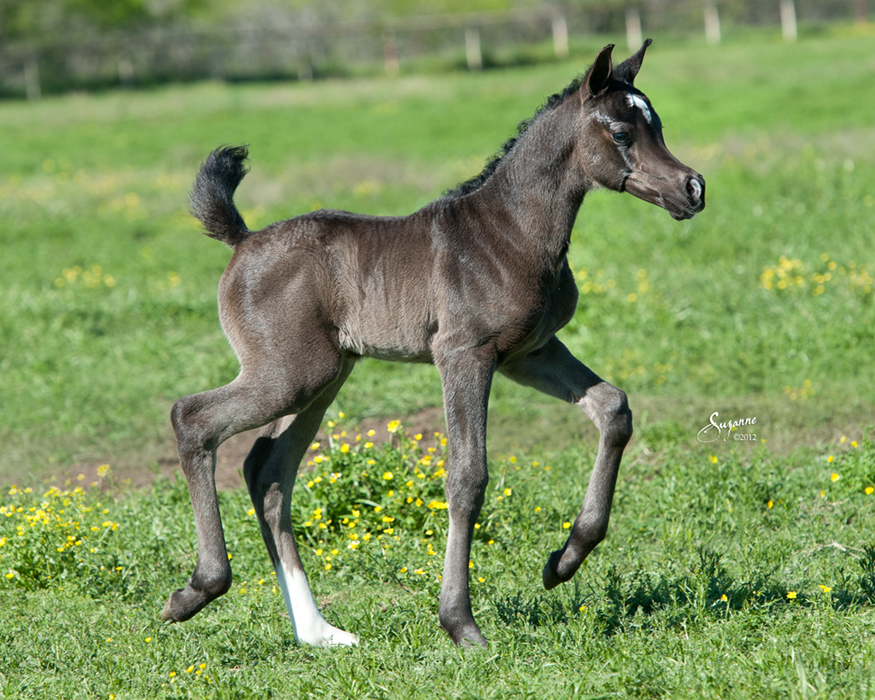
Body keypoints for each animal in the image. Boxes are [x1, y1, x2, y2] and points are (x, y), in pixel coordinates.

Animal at [166, 41, 704, 648]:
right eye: (619, 132)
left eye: (657, 125)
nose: (692, 188)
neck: (513, 232)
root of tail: (243, 239)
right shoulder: (464, 354)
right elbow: (468, 474)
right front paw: (461, 623)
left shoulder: (529, 352)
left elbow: (614, 408)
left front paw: (563, 562)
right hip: (289, 374)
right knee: (193, 419)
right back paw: (197, 590)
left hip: (324, 375)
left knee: (269, 472)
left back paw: (319, 631)